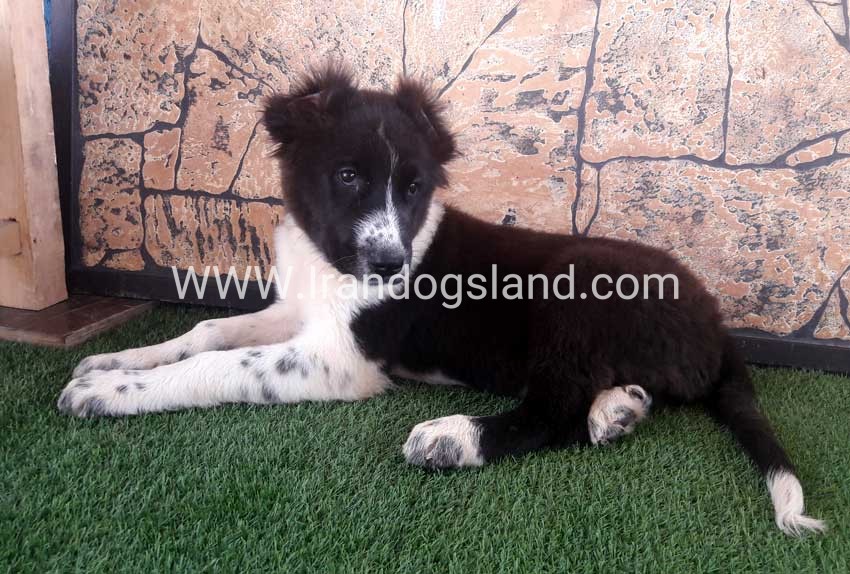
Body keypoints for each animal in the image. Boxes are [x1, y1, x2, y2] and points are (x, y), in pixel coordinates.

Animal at [59, 67, 823, 536]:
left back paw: (453, 438)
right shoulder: (297, 314)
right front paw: (118, 361)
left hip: (575, 285)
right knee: (596, 396)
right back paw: (618, 412)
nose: (390, 265)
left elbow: (222, 368)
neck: (328, 259)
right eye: (347, 177)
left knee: (549, 412)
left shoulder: (339, 359)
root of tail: (717, 324)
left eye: (415, 187)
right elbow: (210, 334)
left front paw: (110, 393)